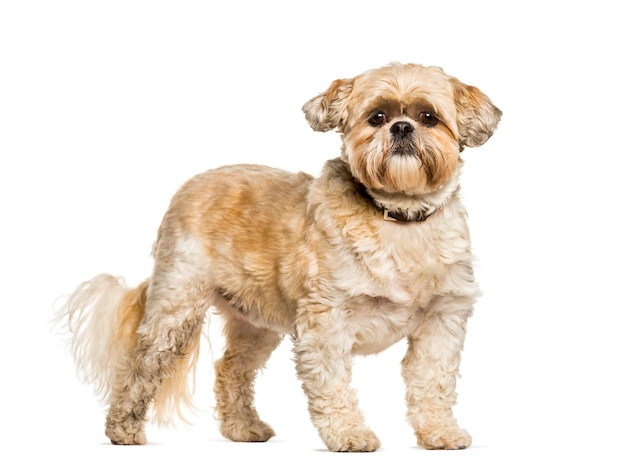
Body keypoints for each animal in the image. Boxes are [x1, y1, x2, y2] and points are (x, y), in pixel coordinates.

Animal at [56, 62, 500, 450]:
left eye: (429, 117)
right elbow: (333, 386)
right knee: (138, 366)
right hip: (176, 308)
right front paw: (349, 435)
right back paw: (123, 430)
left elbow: (432, 384)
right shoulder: (326, 323)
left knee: (231, 368)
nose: (402, 127)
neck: (399, 219)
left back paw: (242, 428)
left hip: (257, 322)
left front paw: (440, 433)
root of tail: (191, 186)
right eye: (376, 117)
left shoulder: (441, 322)